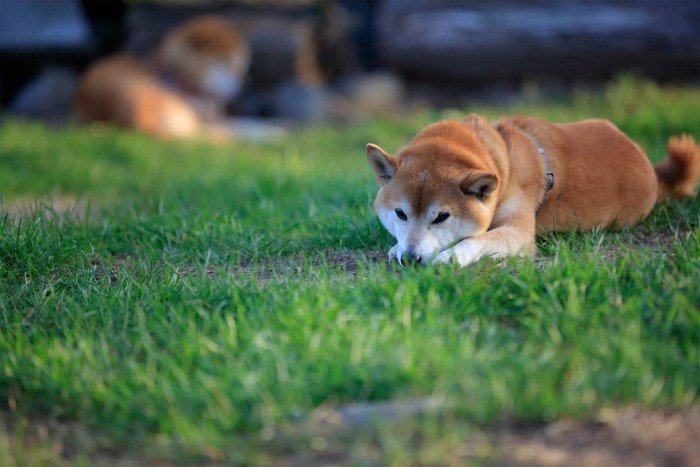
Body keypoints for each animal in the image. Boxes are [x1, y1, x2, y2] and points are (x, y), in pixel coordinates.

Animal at [366, 114, 700, 266]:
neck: (503, 162)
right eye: (400, 213)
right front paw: (396, 248)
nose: (410, 258)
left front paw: (451, 256)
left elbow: (478, 239)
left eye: (441, 217)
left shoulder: (518, 232)